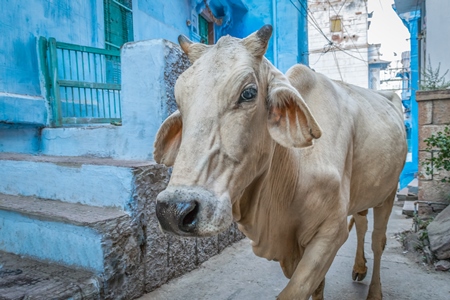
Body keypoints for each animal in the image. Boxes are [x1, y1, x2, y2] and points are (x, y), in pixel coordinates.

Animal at [153, 24, 406, 298]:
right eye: (179, 100)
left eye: (249, 93)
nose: (173, 211)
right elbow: (317, 286)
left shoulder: (331, 232)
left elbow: (297, 290)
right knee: (361, 222)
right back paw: (359, 267)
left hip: (389, 192)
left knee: (378, 240)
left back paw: (375, 290)